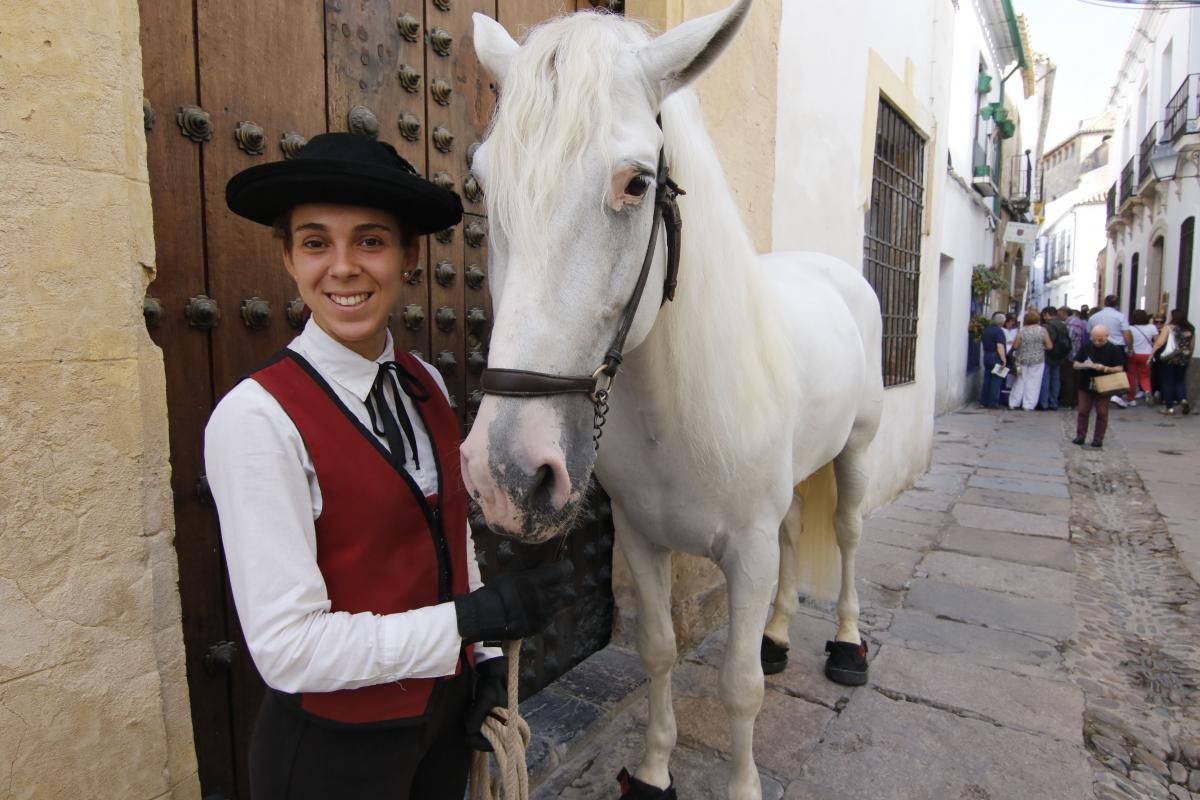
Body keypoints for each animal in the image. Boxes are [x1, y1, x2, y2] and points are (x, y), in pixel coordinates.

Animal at [458, 3, 883, 796]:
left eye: (637, 183)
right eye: (479, 183)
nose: (507, 476)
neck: (676, 418)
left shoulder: (745, 551)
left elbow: (738, 685)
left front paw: (742, 782)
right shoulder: (641, 538)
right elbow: (657, 650)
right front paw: (655, 769)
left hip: (858, 449)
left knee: (845, 534)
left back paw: (846, 644)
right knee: (796, 535)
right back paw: (779, 636)